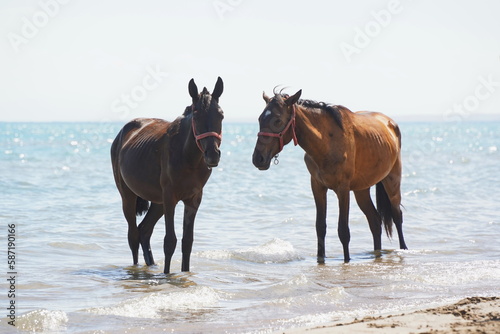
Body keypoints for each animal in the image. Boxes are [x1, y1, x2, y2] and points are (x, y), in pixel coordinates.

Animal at [113, 78, 225, 274]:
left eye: (221, 115)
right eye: (196, 116)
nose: (212, 155)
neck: (188, 157)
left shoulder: (193, 200)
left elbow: (187, 242)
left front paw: (184, 273)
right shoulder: (170, 198)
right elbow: (169, 241)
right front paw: (167, 275)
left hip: (158, 202)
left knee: (144, 230)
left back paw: (151, 265)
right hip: (128, 196)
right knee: (133, 235)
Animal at [252, 89, 408, 264]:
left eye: (277, 120)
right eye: (260, 118)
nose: (258, 158)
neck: (326, 143)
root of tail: (390, 123)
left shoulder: (343, 189)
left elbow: (343, 230)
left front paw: (347, 261)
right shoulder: (317, 186)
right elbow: (320, 227)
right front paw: (321, 260)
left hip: (392, 181)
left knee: (397, 216)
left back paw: (403, 249)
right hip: (361, 190)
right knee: (374, 221)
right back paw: (377, 254)